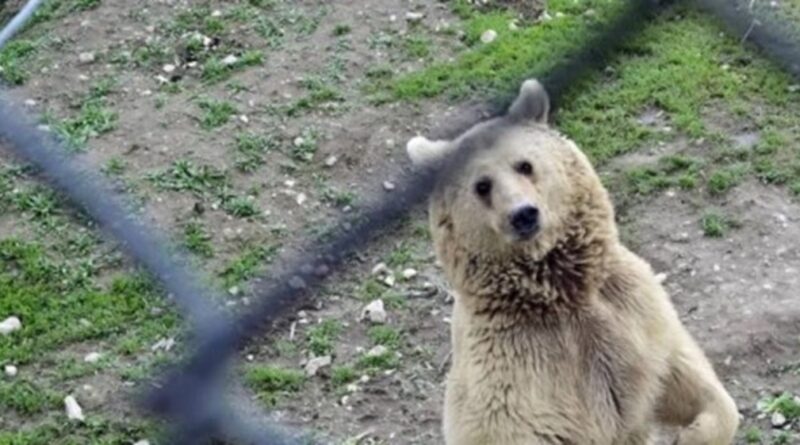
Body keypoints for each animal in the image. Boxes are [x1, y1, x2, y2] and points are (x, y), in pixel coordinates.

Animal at [405, 79, 739, 445]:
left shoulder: (636, 315)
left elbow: (687, 378)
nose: (523, 214)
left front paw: (694, 432)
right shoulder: (518, 374)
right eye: (482, 186)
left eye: (524, 165)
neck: (559, 289)